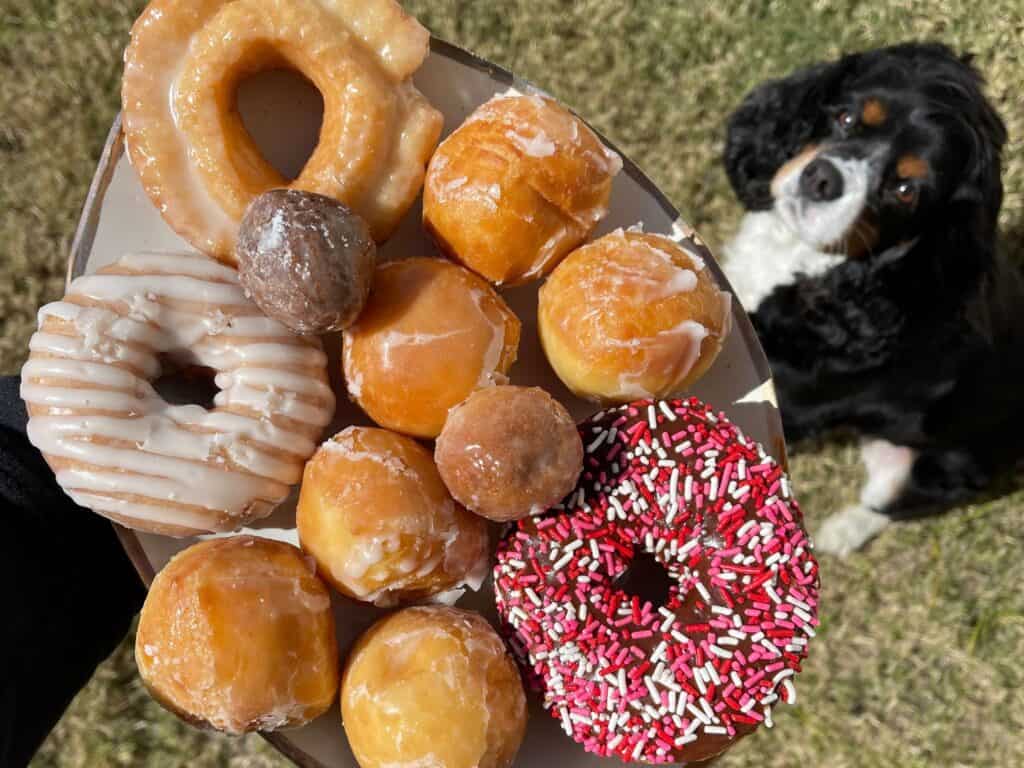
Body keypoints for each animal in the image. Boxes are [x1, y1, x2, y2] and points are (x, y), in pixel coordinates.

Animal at [720, 41, 1024, 557]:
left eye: (904, 190)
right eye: (845, 117)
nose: (821, 179)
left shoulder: (787, 398)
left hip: (943, 466)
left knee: (891, 504)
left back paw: (839, 533)